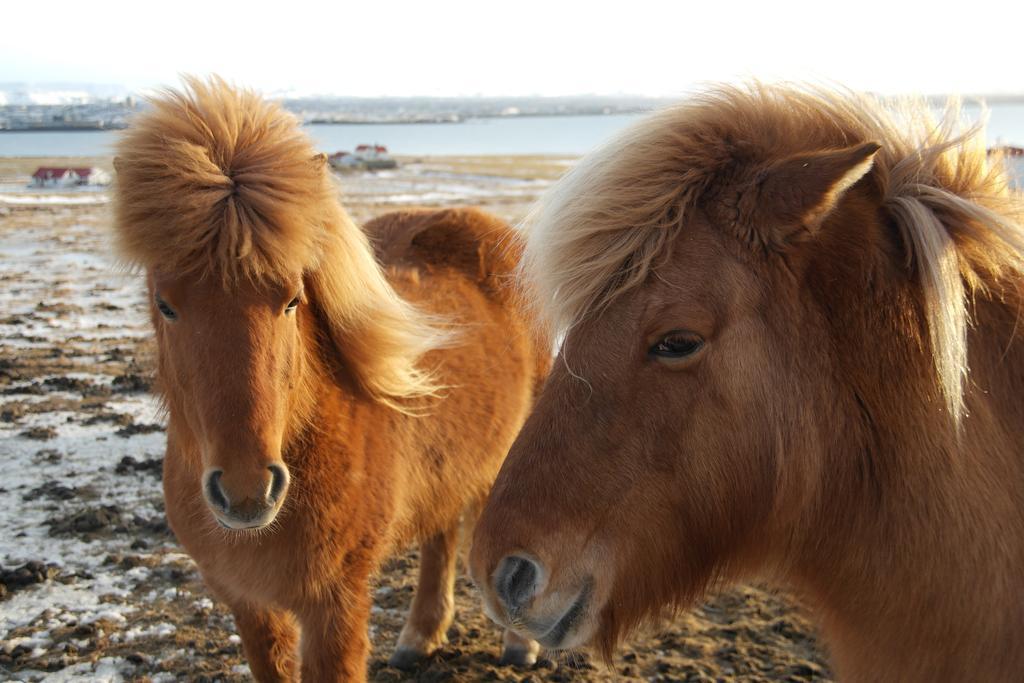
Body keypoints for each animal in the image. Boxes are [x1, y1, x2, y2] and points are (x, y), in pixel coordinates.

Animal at [111, 78, 548, 679]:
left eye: (292, 299)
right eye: (165, 305)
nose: (247, 490)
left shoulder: (334, 605)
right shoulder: (250, 606)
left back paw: (520, 643)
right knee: (441, 534)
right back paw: (419, 637)